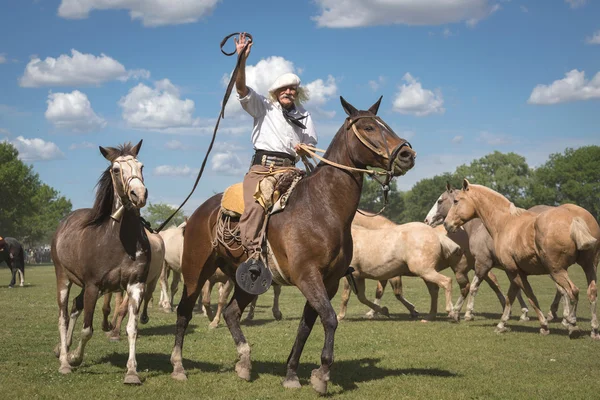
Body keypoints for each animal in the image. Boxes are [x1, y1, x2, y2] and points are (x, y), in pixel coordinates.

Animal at [51, 139, 152, 382]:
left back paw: (62, 349)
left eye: (141, 166)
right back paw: (64, 360)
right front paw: (74, 358)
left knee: (75, 307)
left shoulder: (135, 285)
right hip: (63, 277)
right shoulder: (93, 286)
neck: (119, 241)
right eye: (115, 170)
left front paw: (132, 372)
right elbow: (87, 330)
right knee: (63, 316)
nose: (139, 194)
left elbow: (132, 328)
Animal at [171, 97, 418, 394]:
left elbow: (306, 325)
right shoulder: (307, 276)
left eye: (386, 124)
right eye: (369, 127)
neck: (322, 207)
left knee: (231, 313)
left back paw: (244, 362)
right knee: (184, 311)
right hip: (195, 271)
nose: (407, 155)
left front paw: (291, 374)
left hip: (247, 280)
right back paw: (179, 367)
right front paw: (322, 375)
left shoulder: (328, 282)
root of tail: (198, 212)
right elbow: (330, 318)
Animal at [442, 180, 596, 340]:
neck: (505, 222)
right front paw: (504, 323)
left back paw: (572, 324)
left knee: (572, 291)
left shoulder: (512, 271)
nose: (446, 224)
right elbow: (514, 296)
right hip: (589, 266)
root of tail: (574, 218)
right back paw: (593, 330)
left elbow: (528, 296)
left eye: (455, 201)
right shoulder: (515, 272)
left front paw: (542, 325)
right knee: (591, 292)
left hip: (557, 271)